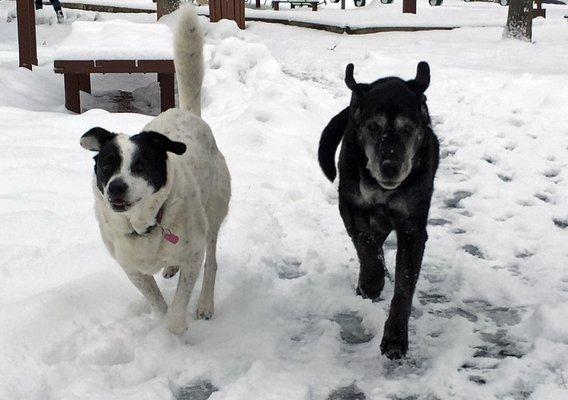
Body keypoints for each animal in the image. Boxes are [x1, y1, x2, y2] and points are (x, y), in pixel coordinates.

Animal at [80, 6, 231, 334]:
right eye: (107, 165)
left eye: (140, 166)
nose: (116, 187)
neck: (144, 226)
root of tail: (187, 113)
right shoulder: (132, 270)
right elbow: (158, 303)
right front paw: (162, 319)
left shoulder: (193, 255)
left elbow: (177, 308)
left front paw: (177, 328)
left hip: (214, 214)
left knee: (212, 263)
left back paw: (205, 303)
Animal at [320, 62, 440, 360]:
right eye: (373, 127)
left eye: (407, 128)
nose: (389, 166)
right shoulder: (350, 205)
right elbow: (365, 243)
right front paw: (372, 280)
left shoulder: (412, 228)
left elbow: (404, 286)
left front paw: (395, 338)